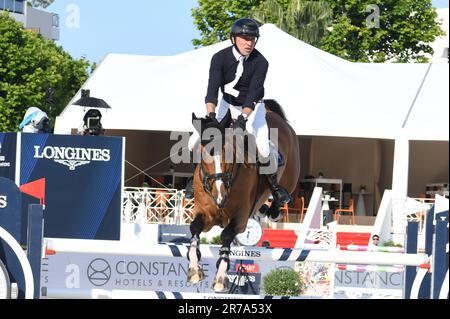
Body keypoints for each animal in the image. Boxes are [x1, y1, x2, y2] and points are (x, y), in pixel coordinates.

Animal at [186, 100, 298, 292]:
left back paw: (275, 208)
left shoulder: (241, 218)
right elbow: (194, 228)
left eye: (228, 153)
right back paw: (263, 209)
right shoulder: (205, 214)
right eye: (201, 153)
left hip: (290, 179)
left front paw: (221, 277)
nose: (220, 198)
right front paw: (194, 269)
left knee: (279, 196)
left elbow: (226, 235)